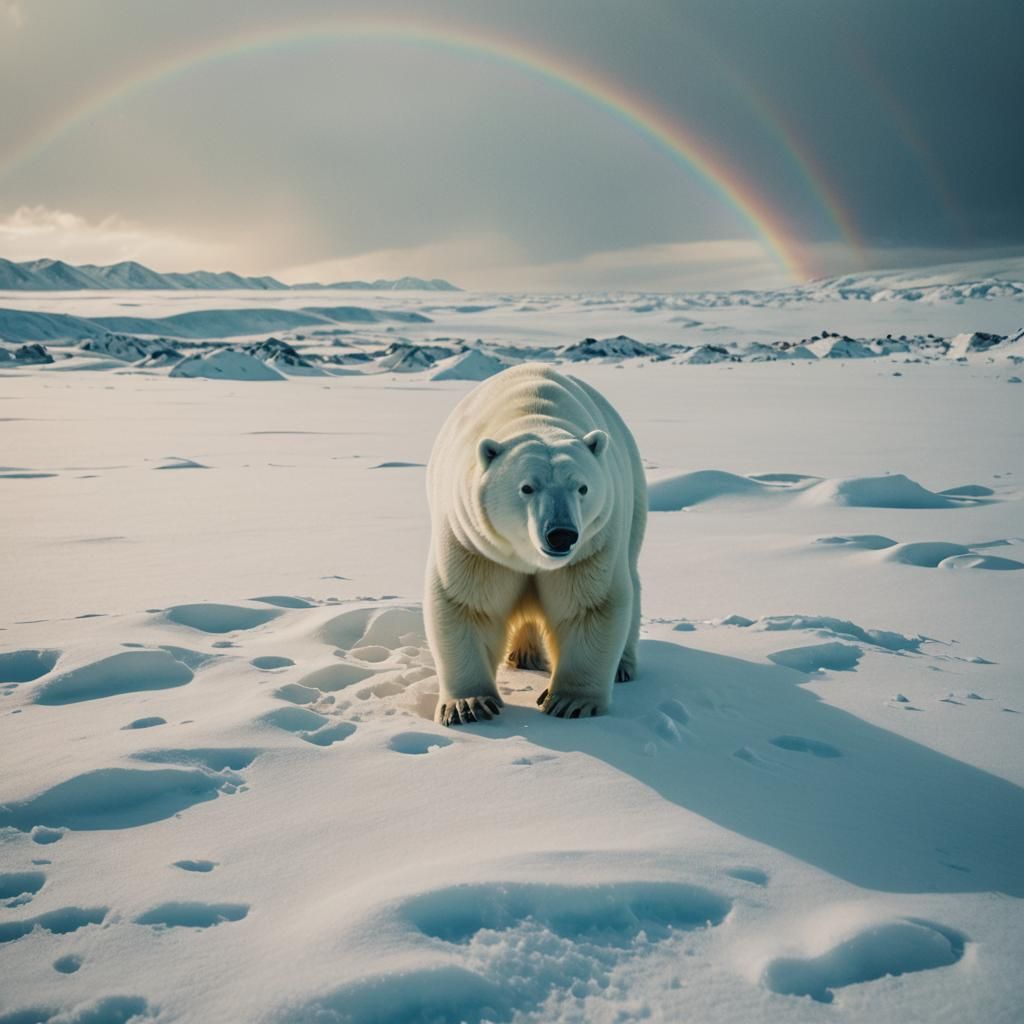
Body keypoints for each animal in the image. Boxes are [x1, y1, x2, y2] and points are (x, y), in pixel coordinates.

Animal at [424, 362, 647, 726]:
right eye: (527, 487)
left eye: (582, 488)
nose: (562, 534)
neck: (533, 412)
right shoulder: (475, 543)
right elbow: (468, 604)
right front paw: (469, 705)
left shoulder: (591, 547)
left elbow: (590, 605)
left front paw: (570, 702)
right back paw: (525, 654)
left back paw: (622, 668)